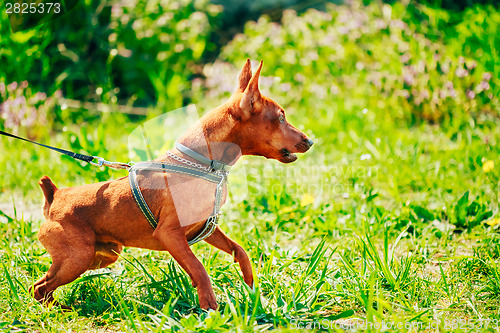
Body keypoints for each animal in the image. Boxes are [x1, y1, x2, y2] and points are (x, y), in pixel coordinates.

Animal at [32, 59, 312, 308]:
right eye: (281, 118)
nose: (310, 141)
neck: (200, 163)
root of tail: (55, 197)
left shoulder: (205, 228)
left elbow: (239, 250)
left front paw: (251, 286)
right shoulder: (170, 235)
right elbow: (199, 269)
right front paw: (209, 307)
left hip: (100, 256)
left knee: (41, 284)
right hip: (78, 258)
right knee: (40, 287)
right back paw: (59, 310)